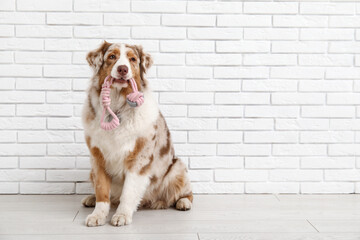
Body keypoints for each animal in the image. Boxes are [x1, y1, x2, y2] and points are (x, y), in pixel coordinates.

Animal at [82, 41, 194, 227]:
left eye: (132, 59)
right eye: (112, 56)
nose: (122, 69)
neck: (117, 107)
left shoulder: (139, 159)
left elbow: (128, 191)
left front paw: (122, 215)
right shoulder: (97, 158)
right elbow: (102, 191)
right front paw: (98, 215)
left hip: (177, 167)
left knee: (186, 193)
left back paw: (183, 202)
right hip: (90, 171)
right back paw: (90, 199)